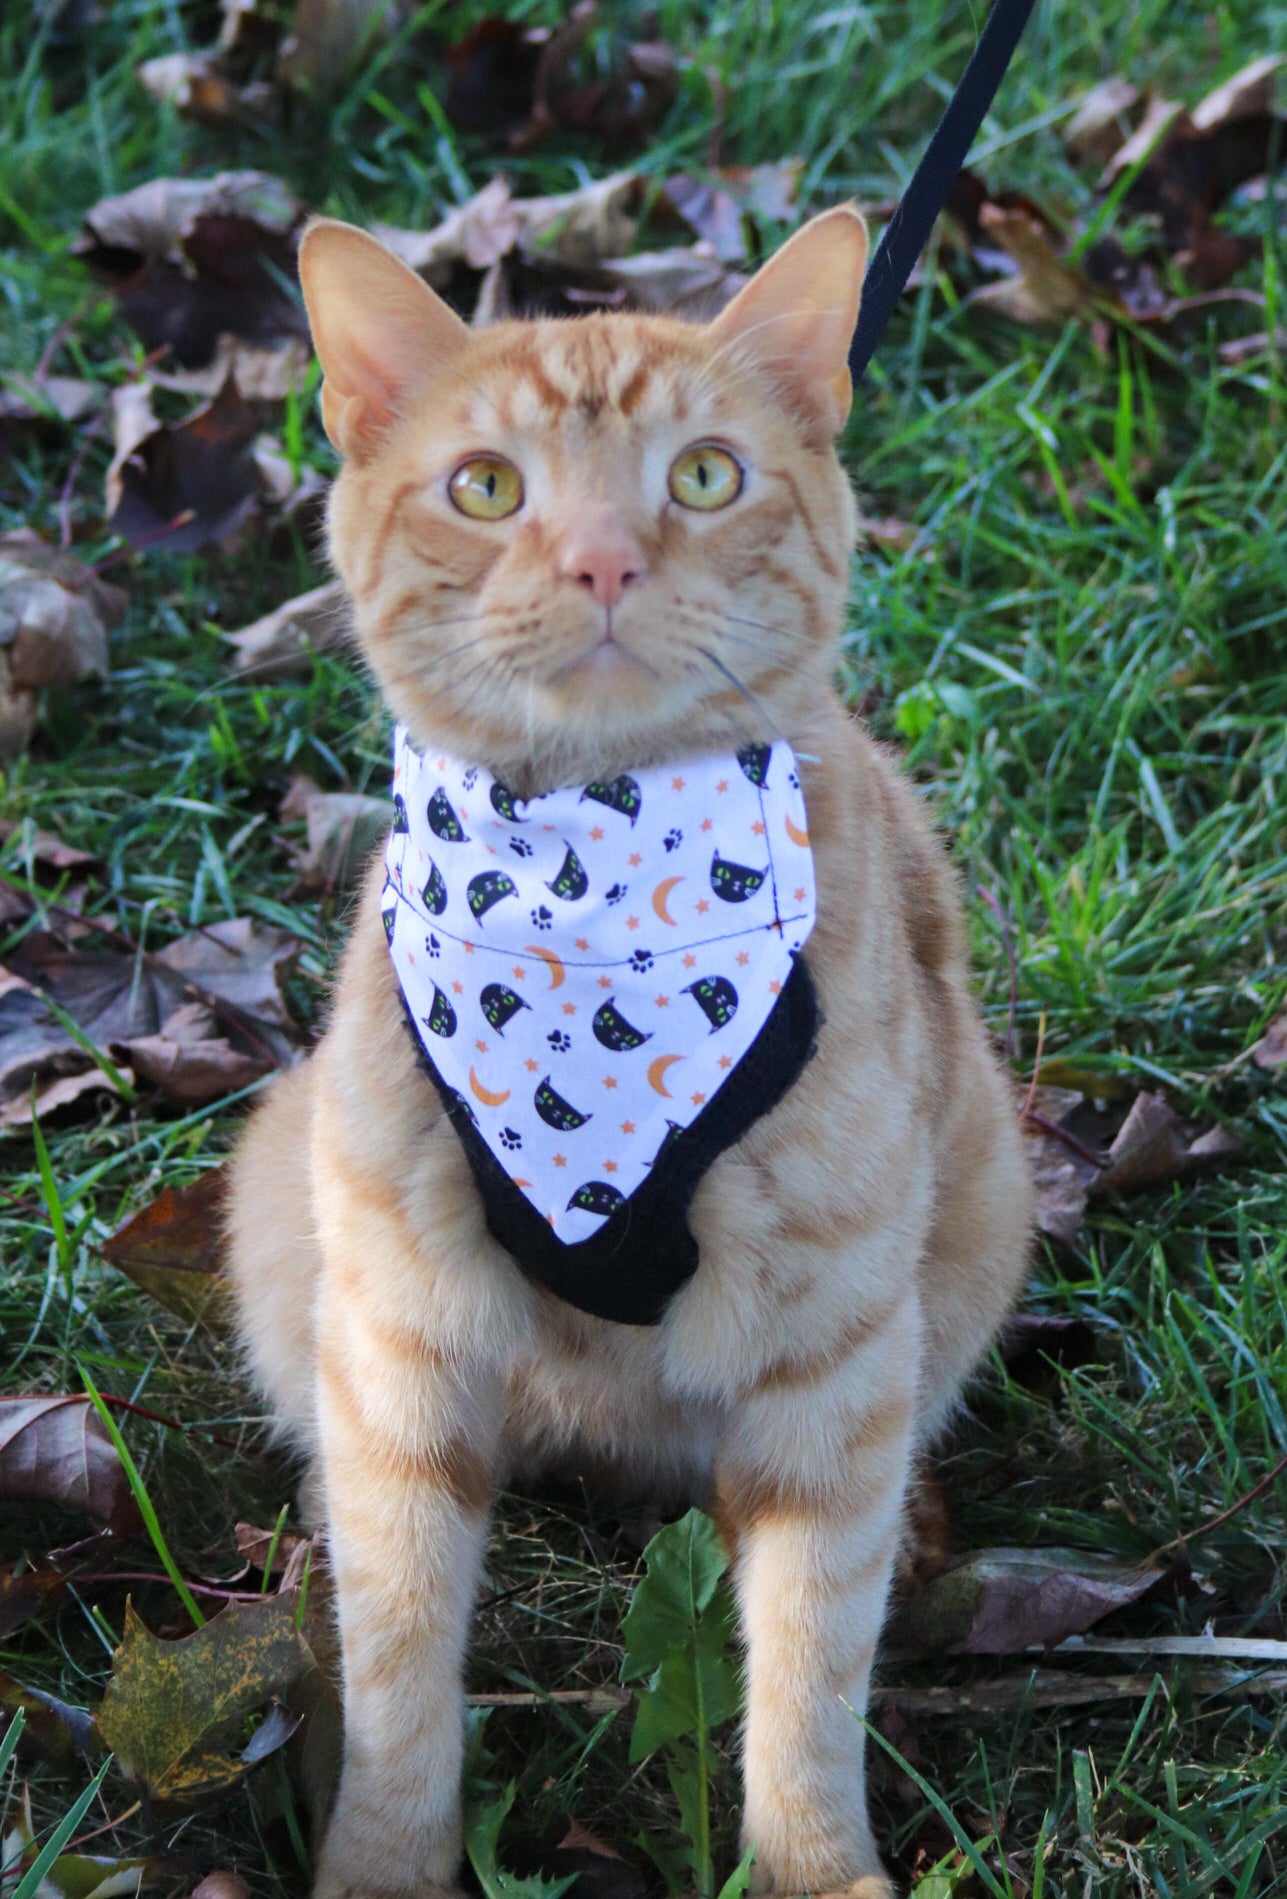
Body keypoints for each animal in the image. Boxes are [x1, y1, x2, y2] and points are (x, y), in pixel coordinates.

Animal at [226, 207, 1040, 1899]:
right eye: (485, 488)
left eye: (706, 476)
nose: (601, 559)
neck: (590, 900)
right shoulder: (398, 1348)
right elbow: (398, 1654)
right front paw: (384, 1861)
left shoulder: (828, 1366)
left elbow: (808, 1660)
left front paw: (811, 1868)